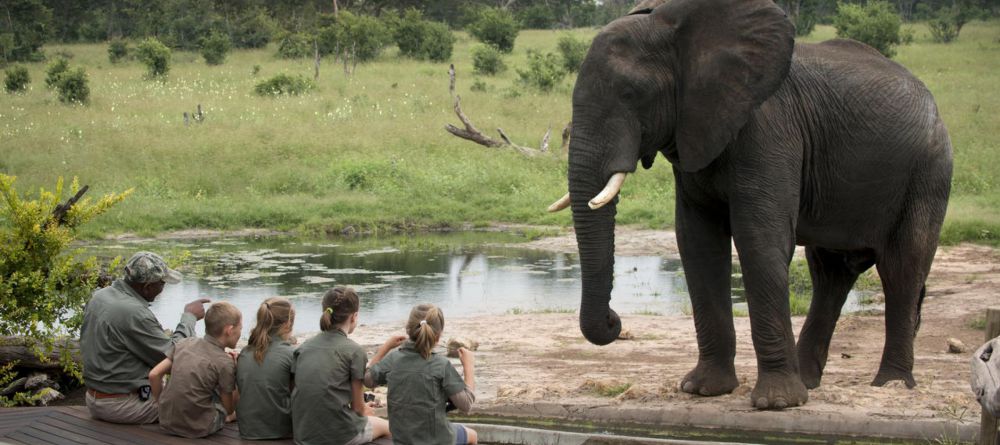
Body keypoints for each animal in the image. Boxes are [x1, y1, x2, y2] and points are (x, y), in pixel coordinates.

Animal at [547, 0, 953, 409]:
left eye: (632, 94)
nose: (615, 321)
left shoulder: (768, 128)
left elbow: (759, 239)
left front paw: (777, 403)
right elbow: (698, 243)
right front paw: (703, 390)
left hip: (929, 170)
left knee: (902, 267)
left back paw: (891, 385)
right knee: (831, 273)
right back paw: (809, 383)